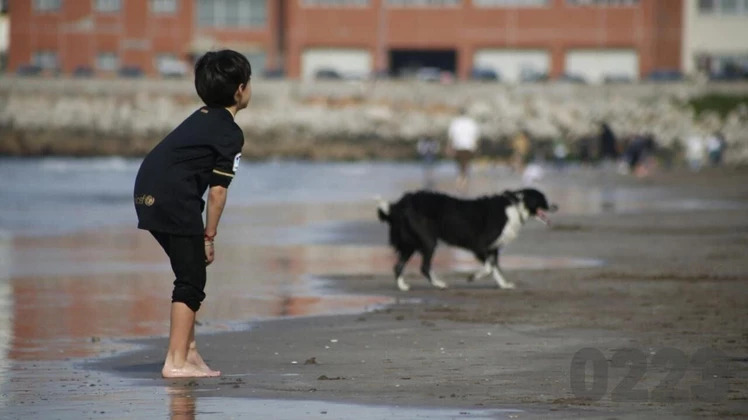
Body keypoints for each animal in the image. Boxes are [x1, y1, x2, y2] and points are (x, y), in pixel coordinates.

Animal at [380, 190, 556, 292]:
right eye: (543, 199)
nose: (556, 206)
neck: (516, 207)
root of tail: (399, 204)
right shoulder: (480, 246)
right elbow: (489, 267)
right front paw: (472, 277)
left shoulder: (492, 249)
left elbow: (495, 268)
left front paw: (503, 285)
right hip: (428, 241)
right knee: (424, 267)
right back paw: (439, 284)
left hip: (410, 244)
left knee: (398, 266)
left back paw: (402, 286)